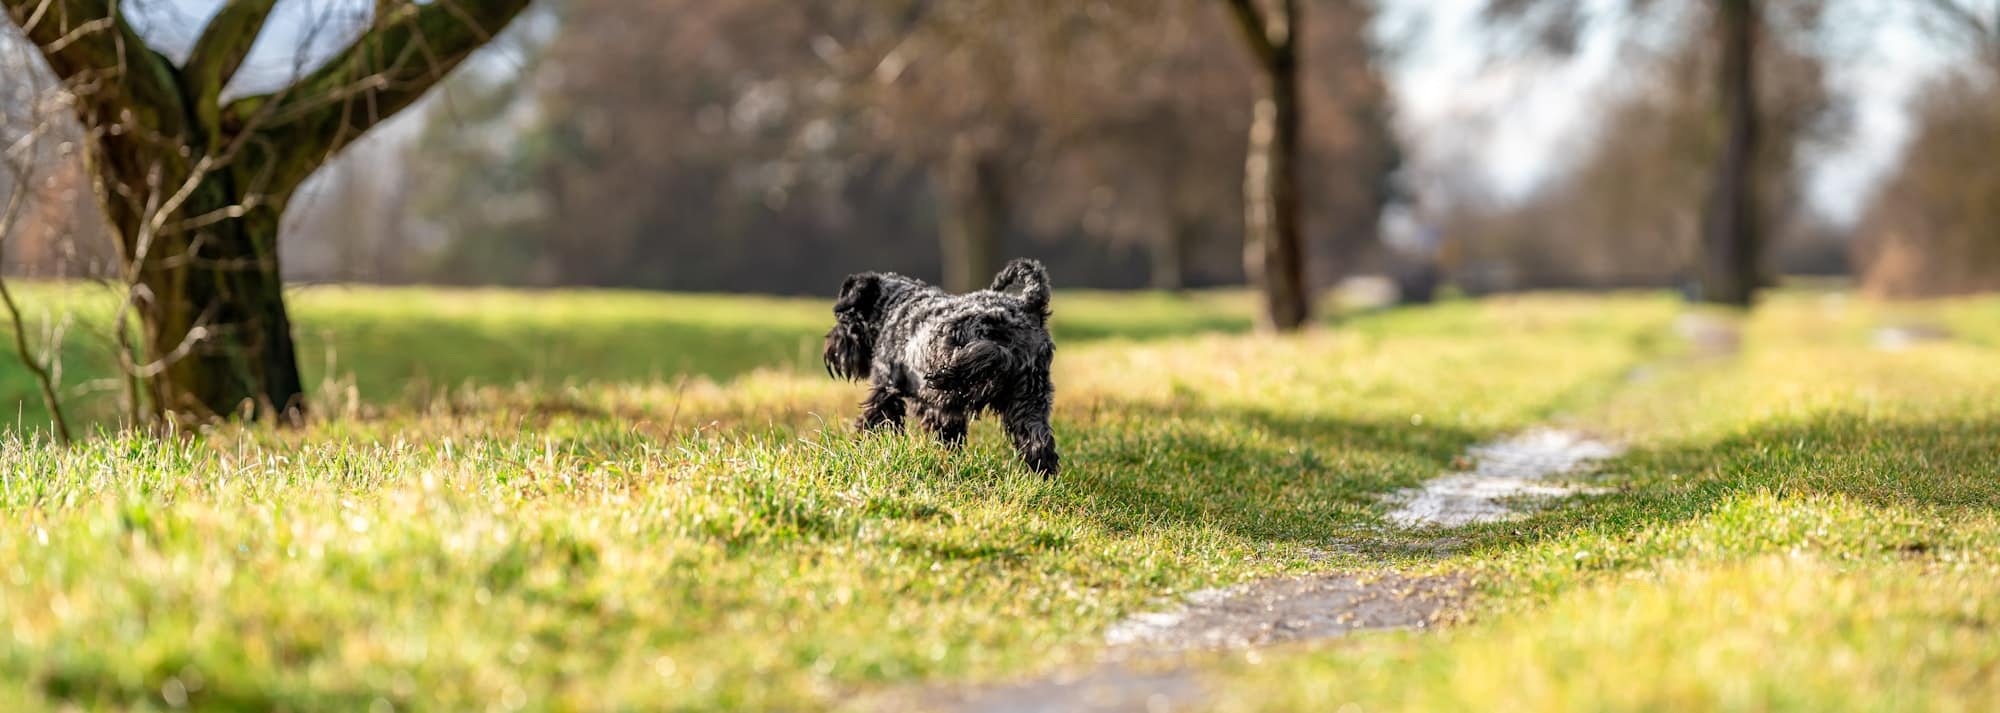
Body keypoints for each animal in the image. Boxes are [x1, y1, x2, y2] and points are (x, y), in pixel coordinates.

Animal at [820, 258, 1064, 476]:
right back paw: (1042, 476)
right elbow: (946, 433)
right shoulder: (939, 408)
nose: (831, 350)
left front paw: (861, 447)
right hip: (1030, 400)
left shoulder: (886, 388)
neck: (893, 308)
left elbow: (873, 421)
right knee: (1038, 442)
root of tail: (1029, 305)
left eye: (845, 318)